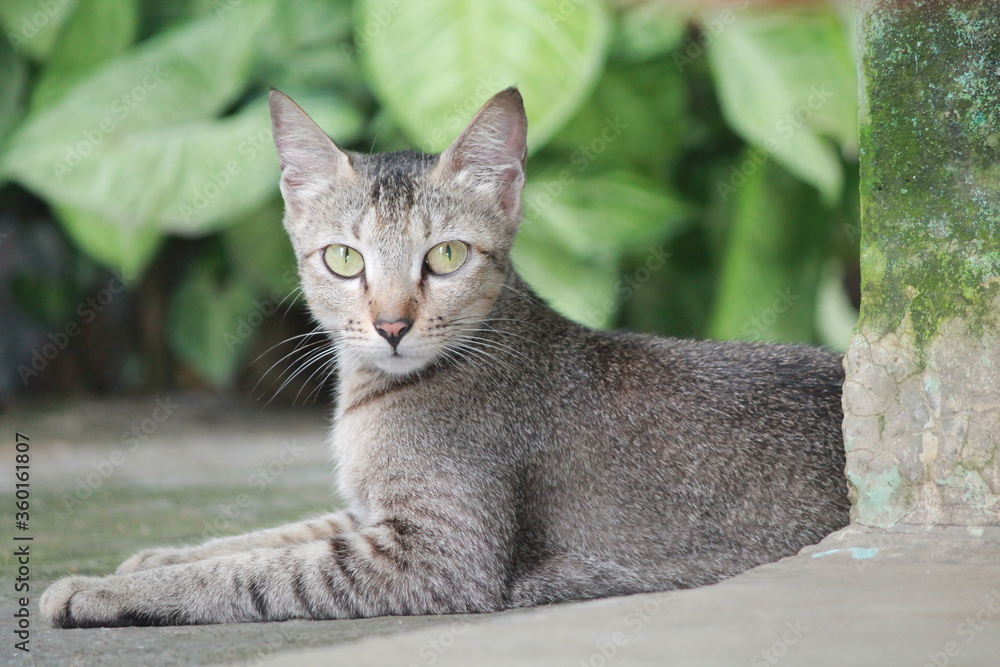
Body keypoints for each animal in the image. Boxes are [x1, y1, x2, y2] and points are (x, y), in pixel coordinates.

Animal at [41, 87, 852, 628]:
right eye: (343, 259)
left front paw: (105, 590)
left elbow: (262, 572)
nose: (392, 323)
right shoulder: (368, 516)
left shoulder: (438, 554)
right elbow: (276, 535)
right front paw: (157, 557)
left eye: (448, 256)